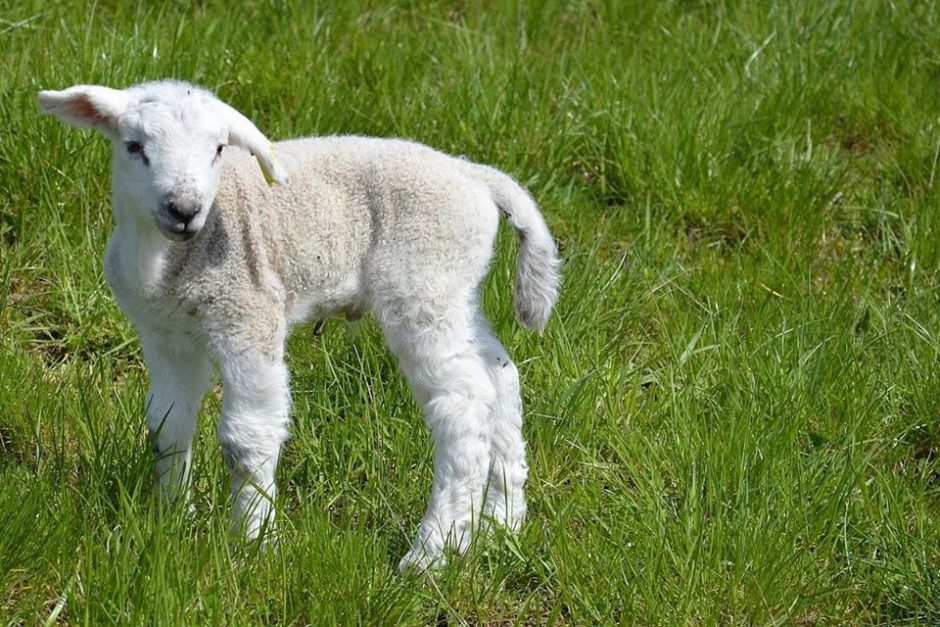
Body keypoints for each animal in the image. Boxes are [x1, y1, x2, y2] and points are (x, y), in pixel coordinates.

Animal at [38, 77, 560, 568]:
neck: (168, 264)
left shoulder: (247, 316)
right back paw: (500, 523)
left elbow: (246, 439)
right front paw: (171, 521)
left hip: (423, 281)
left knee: (462, 405)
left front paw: (254, 542)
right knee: (498, 376)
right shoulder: (165, 334)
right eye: (134, 146)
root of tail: (476, 177)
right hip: (456, 289)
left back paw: (432, 551)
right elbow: (167, 425)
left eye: (219, 149)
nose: (184, 210)